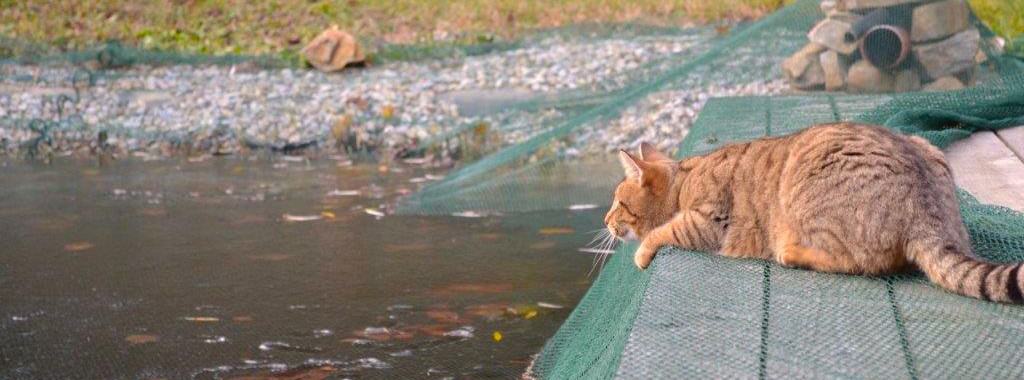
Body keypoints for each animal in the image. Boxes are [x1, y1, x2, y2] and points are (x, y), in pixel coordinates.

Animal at [602, 123, 1019, 305]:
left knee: (861, 262)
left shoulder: (708, 220)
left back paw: (791, 252)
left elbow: (665, 231)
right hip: (927, 149)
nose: (605, 220)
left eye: (618, 203)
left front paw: (642, 253)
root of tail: (927, 210)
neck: (685, 179)